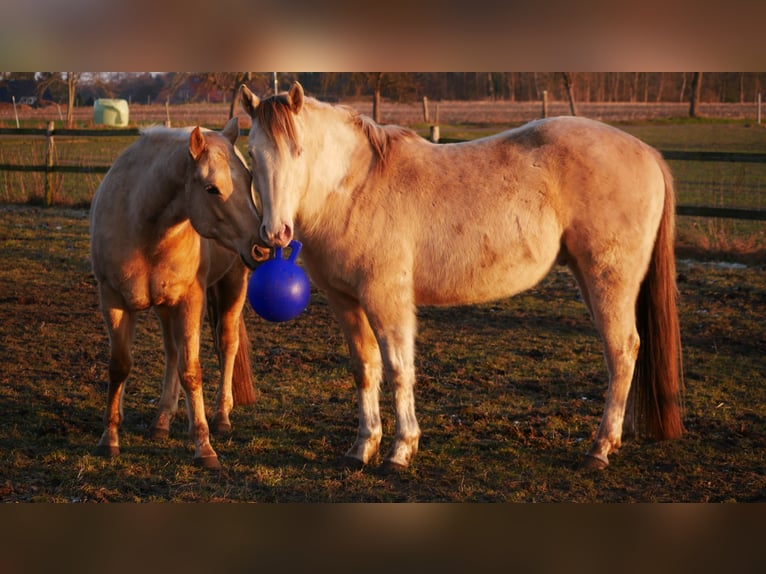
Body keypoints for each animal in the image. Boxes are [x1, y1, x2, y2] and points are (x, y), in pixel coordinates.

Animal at [89, 117, 266, 469]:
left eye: (249, 180)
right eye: (211, 188)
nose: (261, 247)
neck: (144, 227)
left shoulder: (190, 301)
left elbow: (191, 371)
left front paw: (204, 447)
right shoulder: (113, 300)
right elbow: (120, 366)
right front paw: (109, 438)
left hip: (232, 286)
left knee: (227, 344)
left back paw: (221, 416)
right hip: (164, 306)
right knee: (171, 351)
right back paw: (161, 420)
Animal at [240, 82, 684, 472]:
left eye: (298, 150)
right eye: (252, 154)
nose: (275, 234)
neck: (357, 187)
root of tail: (647, 153)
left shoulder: (387, 298)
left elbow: (399, 368)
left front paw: (400, 451)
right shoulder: (344, 300)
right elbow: (365, 368)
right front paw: (362, 448)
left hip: (608, 280)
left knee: (622, 351)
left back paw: (599, 449)